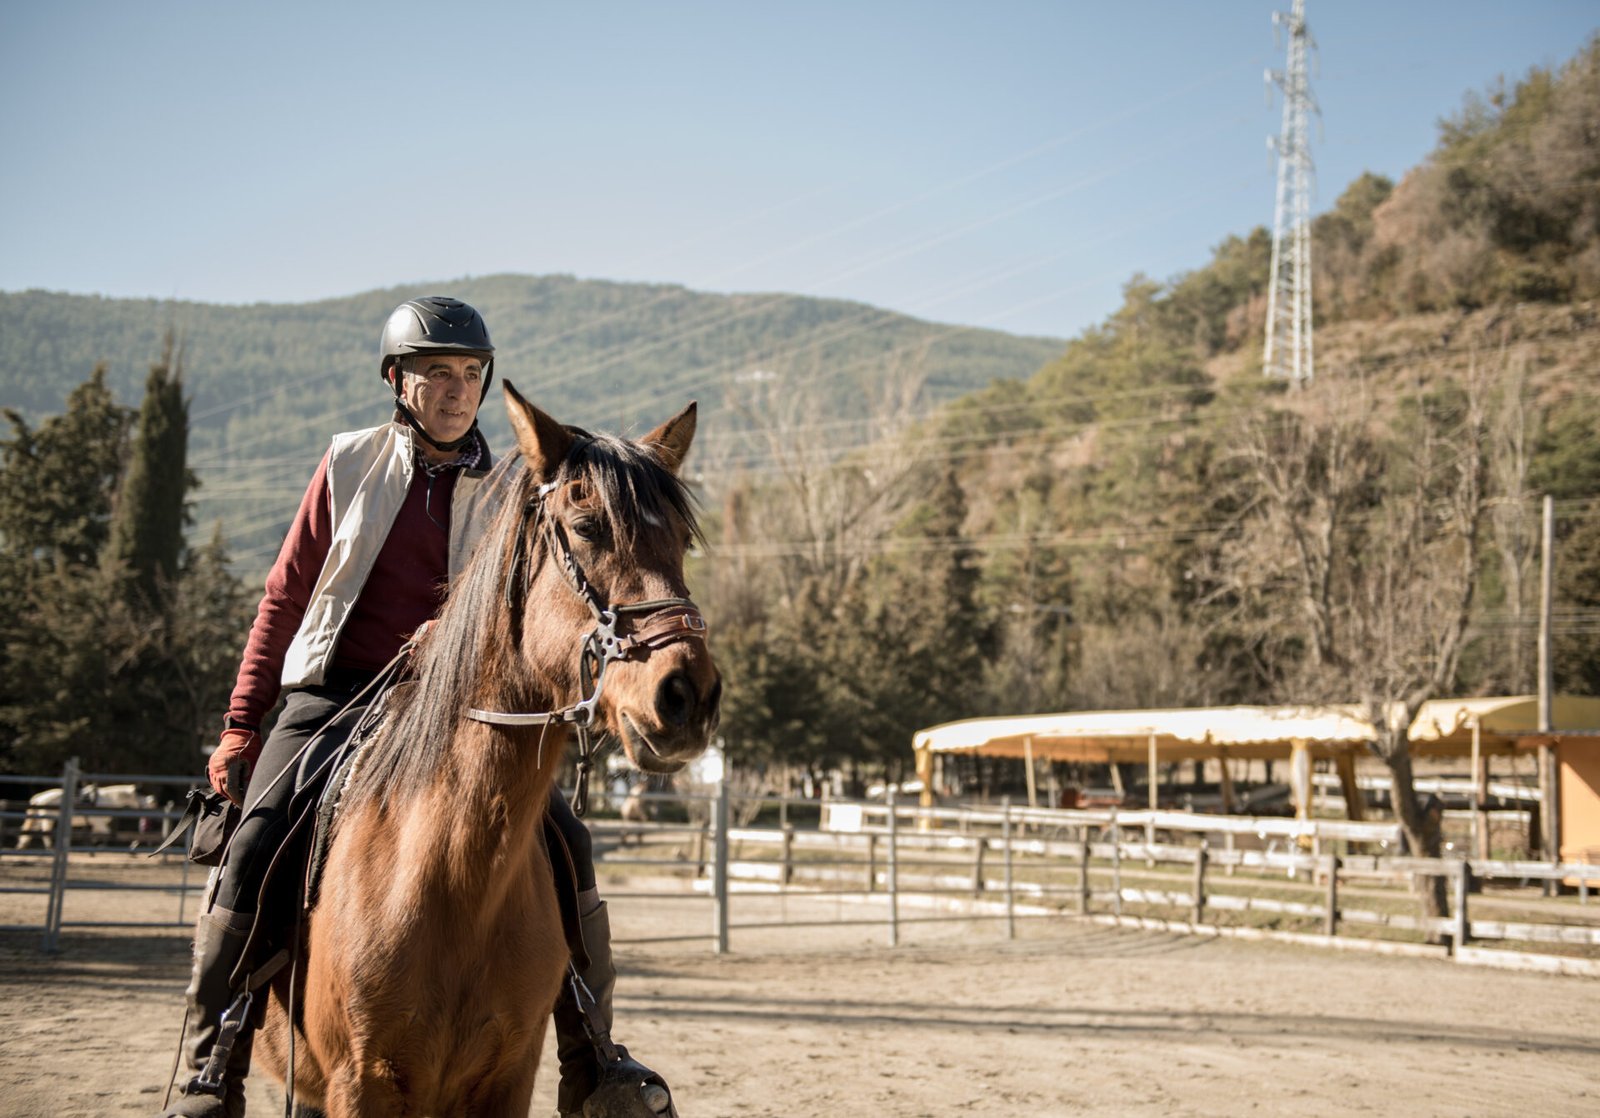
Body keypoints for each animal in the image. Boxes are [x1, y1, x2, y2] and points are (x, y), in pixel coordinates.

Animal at [254, 383, 722, 1116]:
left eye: (678, 539)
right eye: (588, 527)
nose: (689, 694)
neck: (453, 876)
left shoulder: (509, 1077)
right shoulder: (360, 1081)